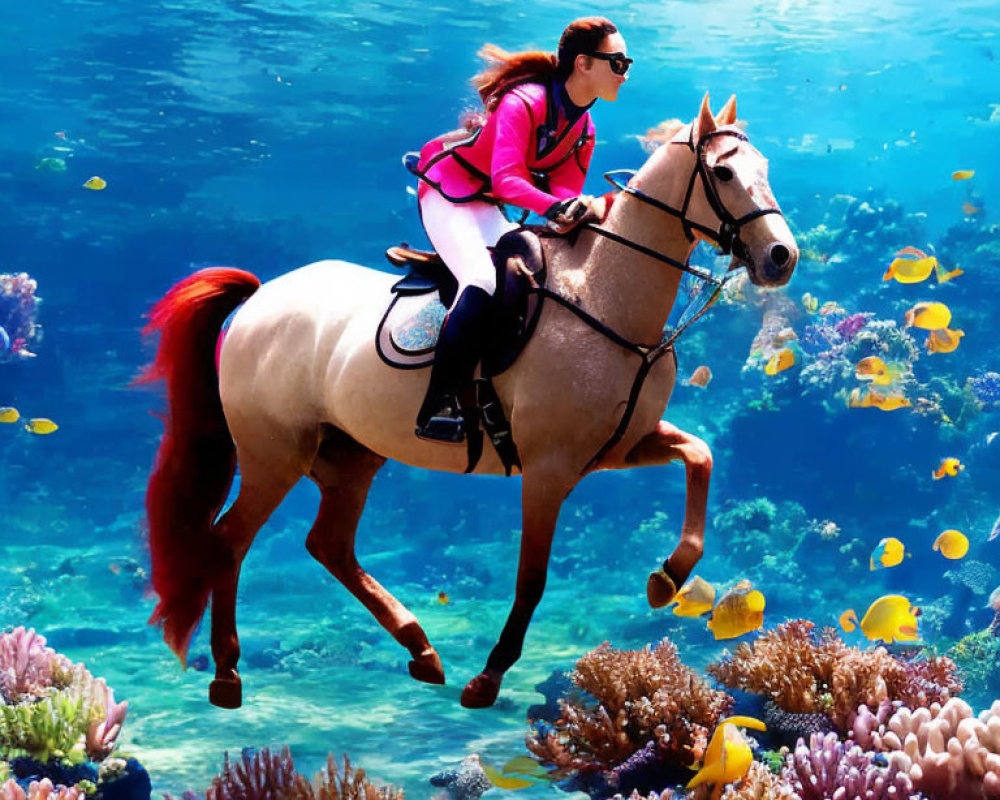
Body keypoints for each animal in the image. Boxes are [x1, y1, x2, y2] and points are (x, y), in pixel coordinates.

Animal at [139, 90, 796, 708]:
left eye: (765, 166)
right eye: (725, 173)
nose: (781, 257)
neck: (609, 298)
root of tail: (259, 297)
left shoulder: (622, 447)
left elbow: (701, 457)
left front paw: (667, 578)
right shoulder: (550, 469)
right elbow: (532, 578)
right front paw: (489, 676)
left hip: (350, 454)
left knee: (329, 545)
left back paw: (420, 649)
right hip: (275, 456)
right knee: (231, 539)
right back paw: (227, 672)